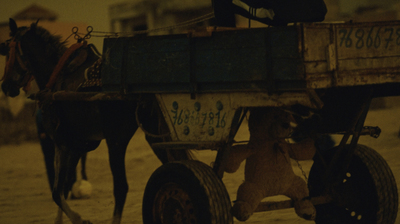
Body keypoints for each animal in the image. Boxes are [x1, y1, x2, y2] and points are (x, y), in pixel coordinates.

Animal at [1, 18, 191, 223]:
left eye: (7, 49)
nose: (5, 86)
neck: (55, 77)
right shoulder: (77, 146)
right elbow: (63, 189)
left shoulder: (63, 144)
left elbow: (57, 191)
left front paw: (78, 218)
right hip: (153, 134)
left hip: (116, 140)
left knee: (121, 187)